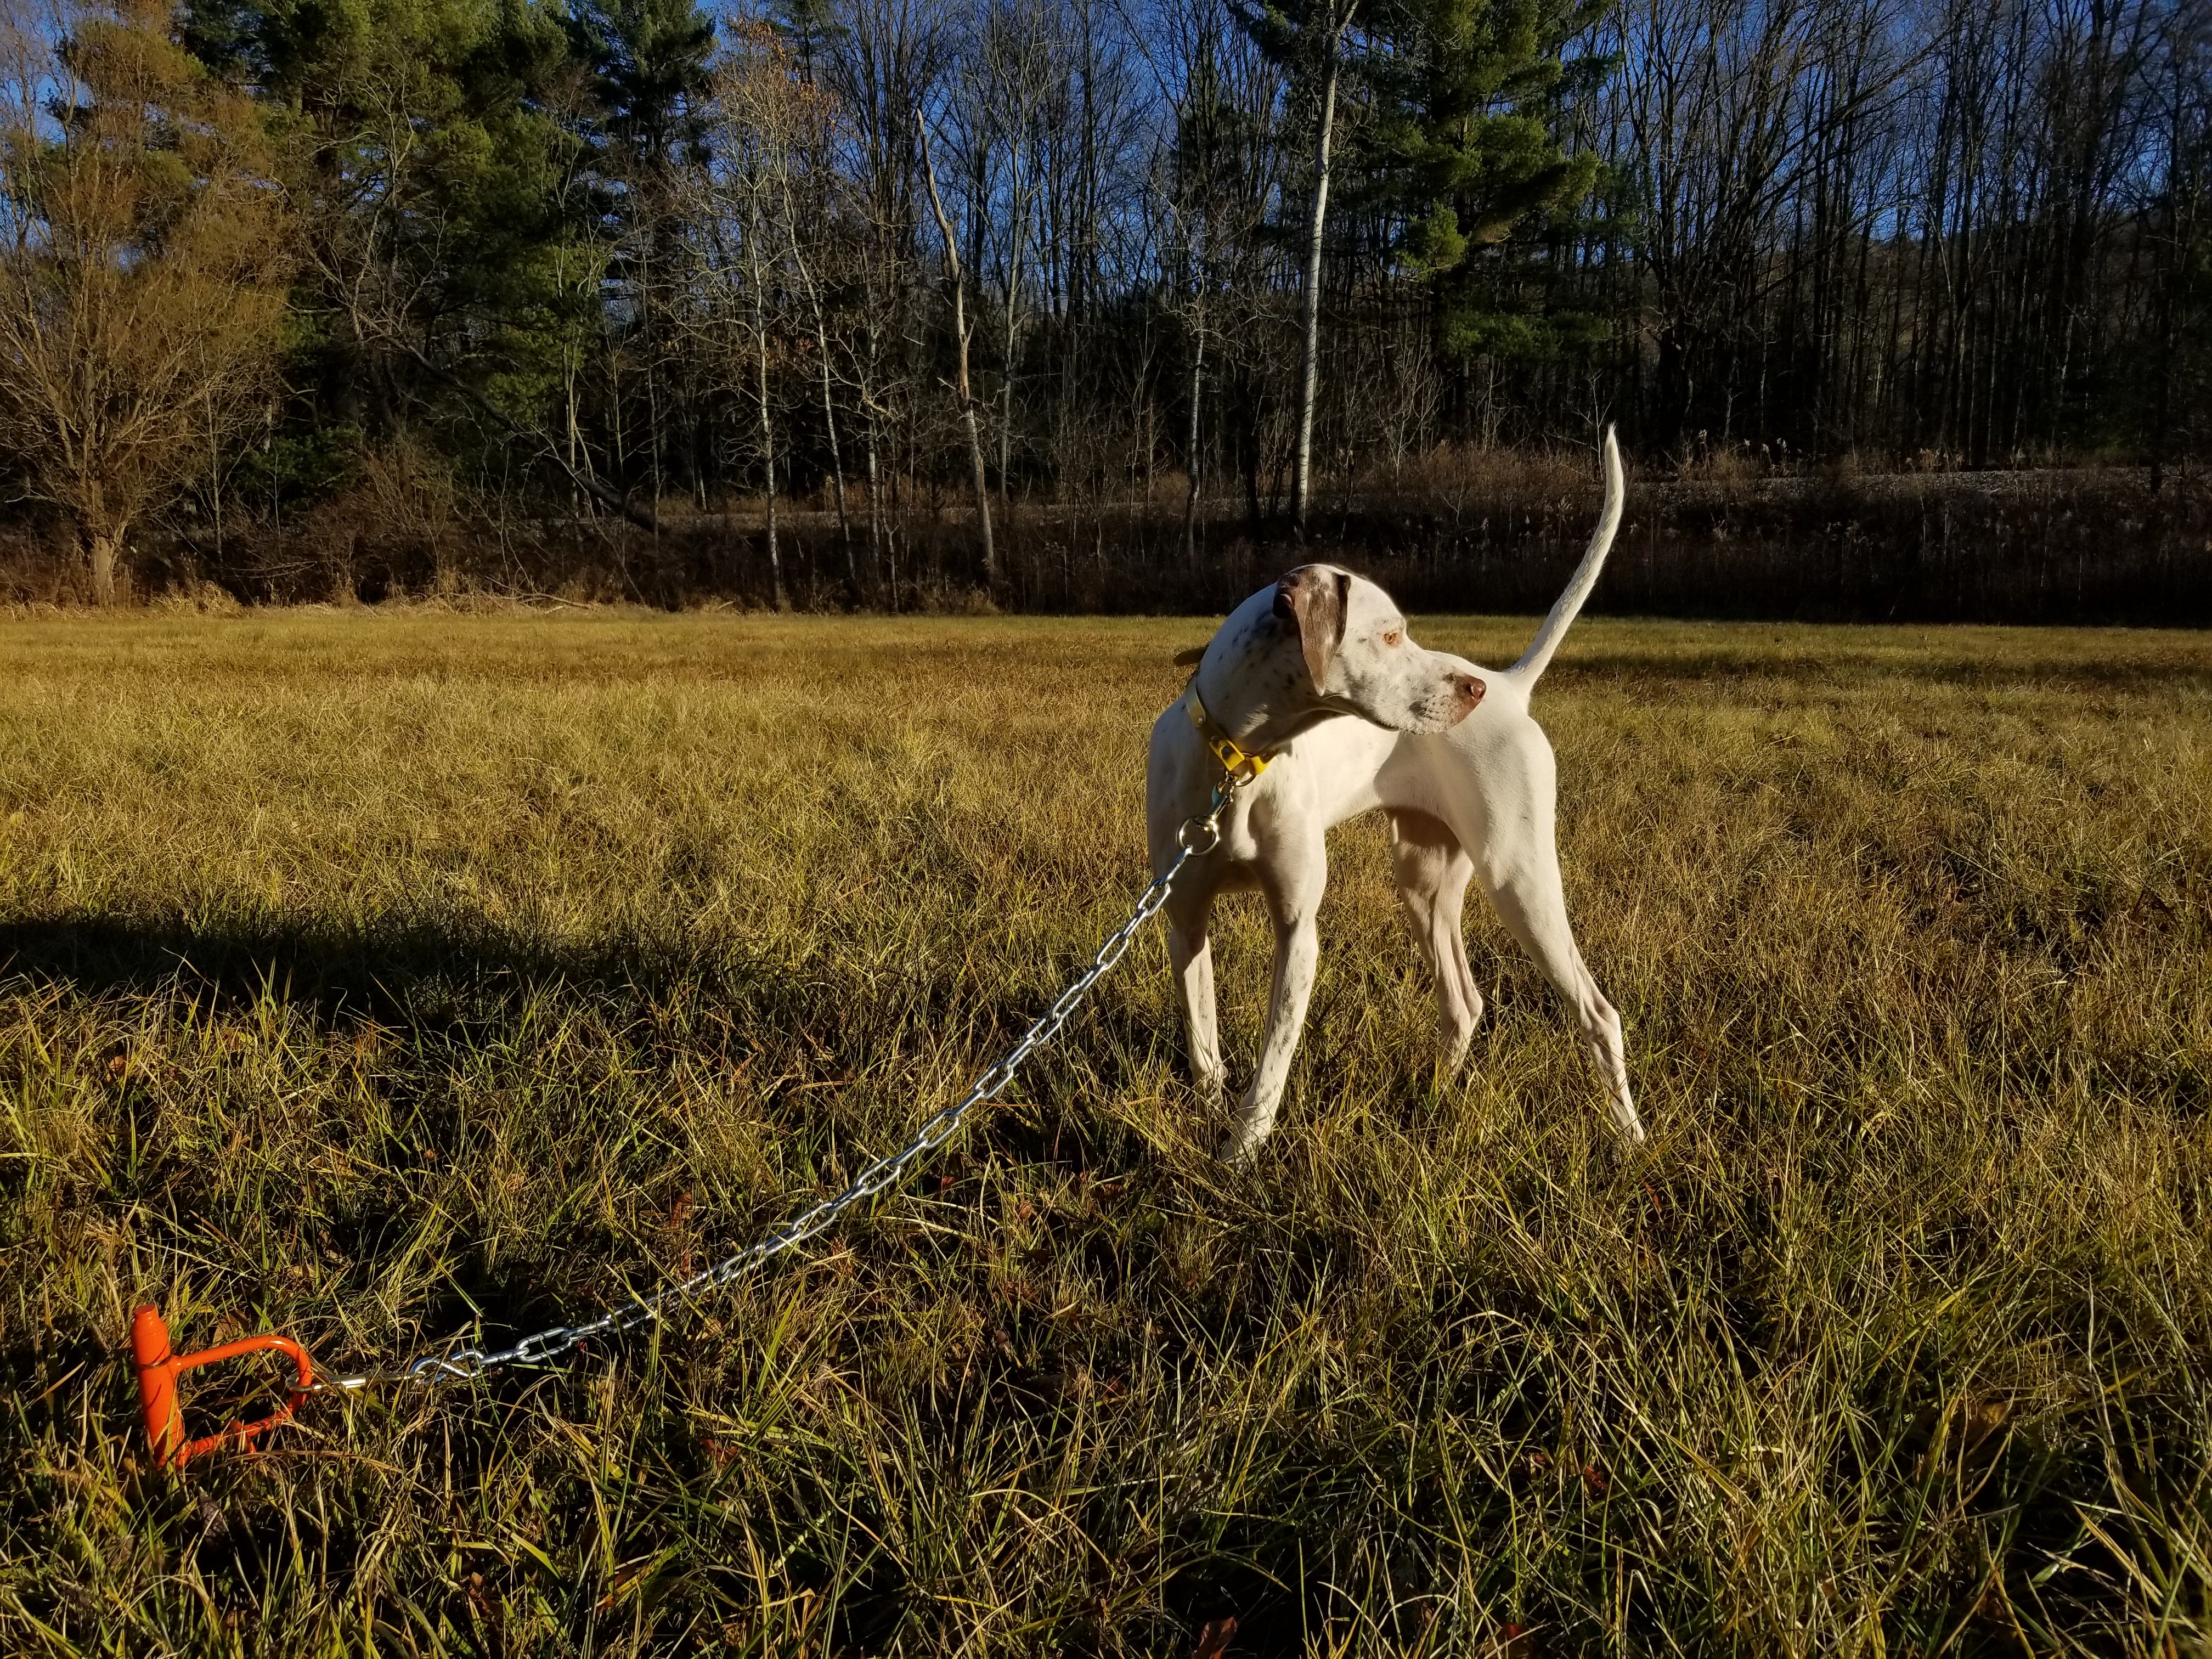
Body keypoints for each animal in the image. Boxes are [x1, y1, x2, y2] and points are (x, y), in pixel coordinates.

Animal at [1141, 425, 1645, 1167]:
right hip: (1424, 885)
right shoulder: (1185, 920)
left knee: (1598, 1014)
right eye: (1388, 635)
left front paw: (1239, 1159)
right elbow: (1205, 1048)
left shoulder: (1298, 931)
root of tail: (1513, 684)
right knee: (1465, 1004)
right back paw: (1430, 1103)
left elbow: (1271, 1065)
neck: (1237, 764)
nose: (1472, 692)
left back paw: (1631, 1140)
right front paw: (1211, 1130)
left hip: (1518, 878)